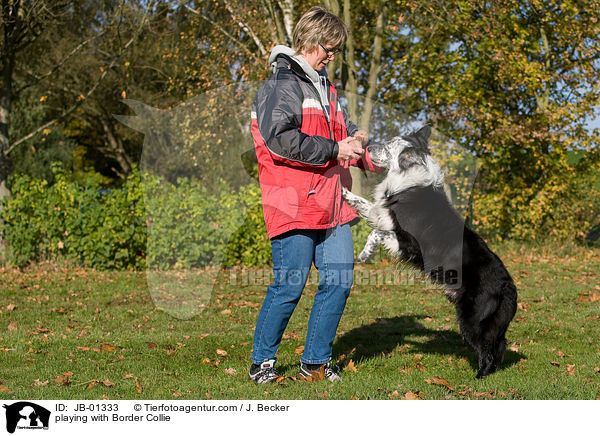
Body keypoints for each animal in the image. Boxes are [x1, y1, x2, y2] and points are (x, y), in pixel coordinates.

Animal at [344, 126, 516, 378]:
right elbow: (364, 206)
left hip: (472, 318)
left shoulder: (408, 243)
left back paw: (480, 375)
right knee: (500, 344)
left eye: (388, 145)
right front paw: (341, 192)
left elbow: (376, 231)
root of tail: (508, 287)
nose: (368, 146)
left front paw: (365, 254)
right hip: (491, 322)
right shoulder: (383, 216)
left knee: (487, 349)